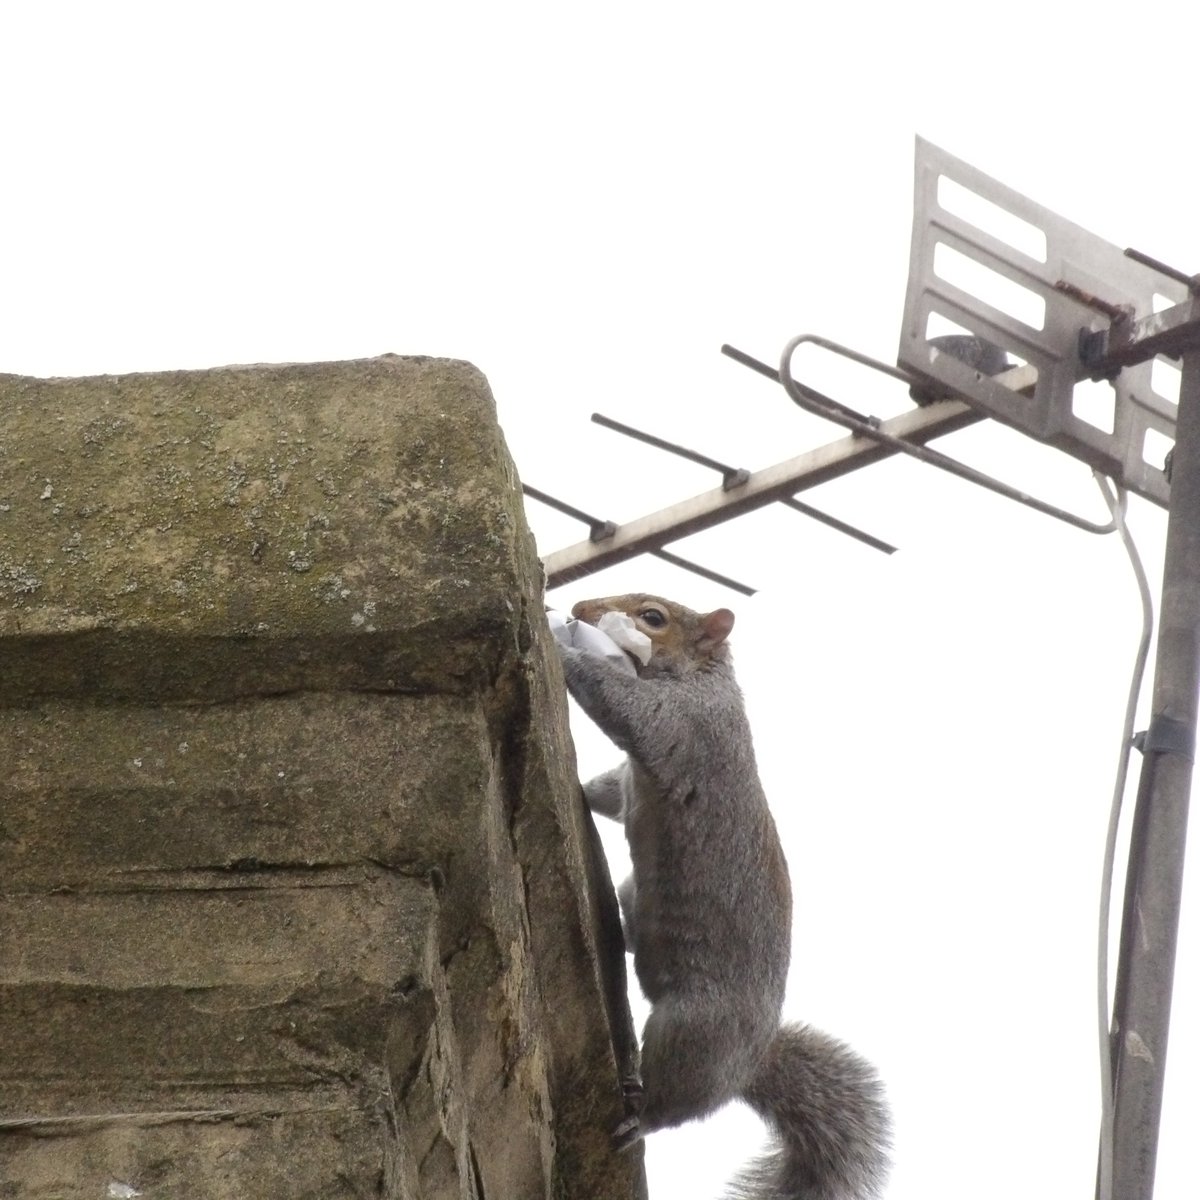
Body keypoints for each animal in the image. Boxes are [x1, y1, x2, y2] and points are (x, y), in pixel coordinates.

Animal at [555, 593, 890, 1200]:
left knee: (673, 1097)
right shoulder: (634, 774)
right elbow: (612, 792)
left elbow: (625, 709)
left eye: (653, 617)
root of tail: (749, 1063)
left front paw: (561, 643)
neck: (701, 677)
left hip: (695, 1031)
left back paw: (639, 1117)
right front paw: (585, 792)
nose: (581, 606)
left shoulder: (686, 723)